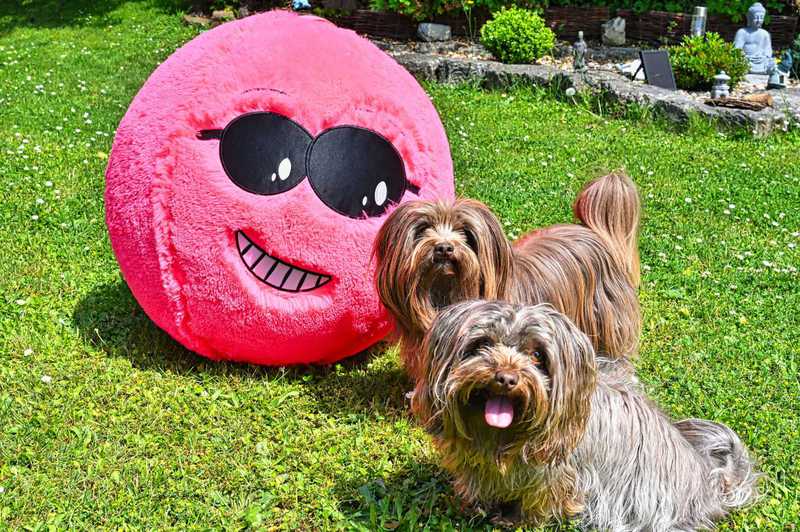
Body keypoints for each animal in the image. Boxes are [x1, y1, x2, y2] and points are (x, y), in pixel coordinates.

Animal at [412, 300, 759, 530]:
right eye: (482, 344)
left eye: (537, 355)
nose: (506, 378)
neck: (503, 438)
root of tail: (710, 483)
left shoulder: (554, 478)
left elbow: (537, 502)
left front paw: (515, 519)